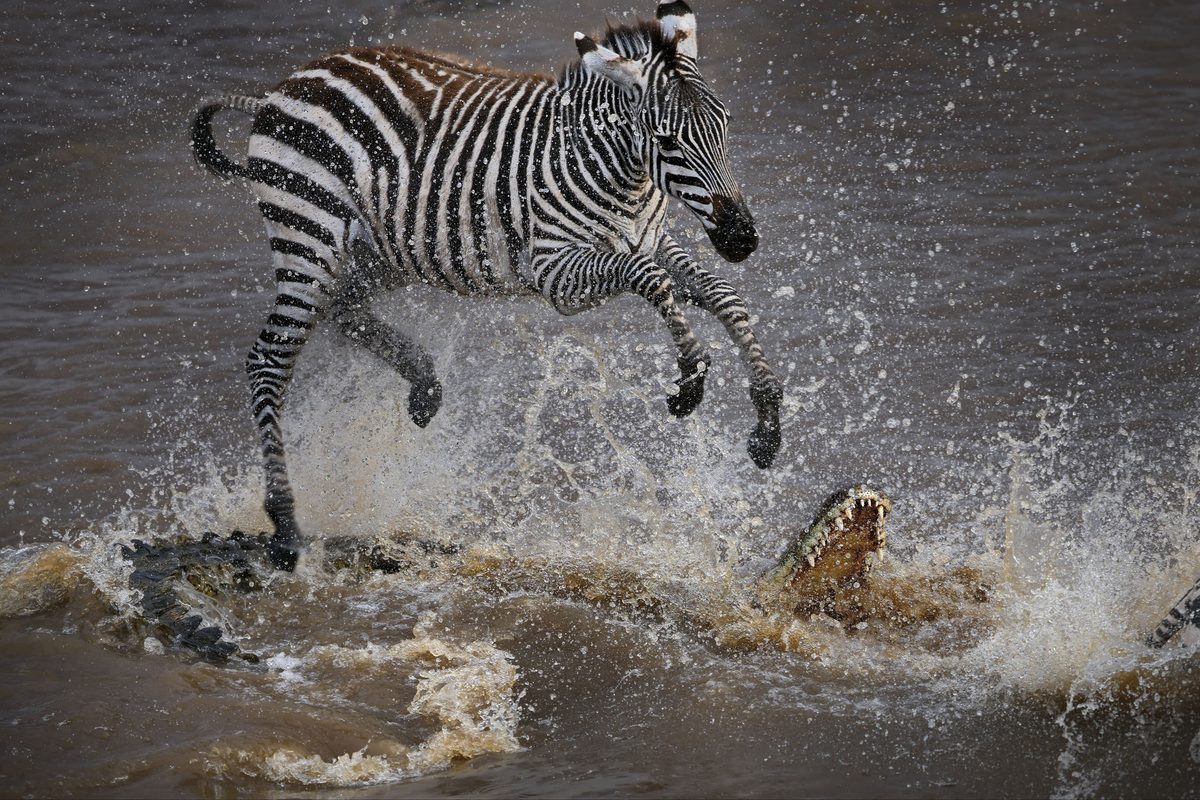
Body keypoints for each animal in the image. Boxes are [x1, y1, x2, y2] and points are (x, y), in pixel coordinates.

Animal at [190, 1, 783, 570]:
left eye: (725, 124)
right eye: (666, 140)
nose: (742, 238)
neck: (621, 176)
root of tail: (279, 89)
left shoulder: (652, 240)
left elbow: (724, 297)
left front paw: (768, 417)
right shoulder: (558, 273)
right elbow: (652, 282)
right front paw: (690, 374)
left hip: (375, 251)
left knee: (343, 312)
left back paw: (423, 385)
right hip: (309, 235)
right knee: (269, 360)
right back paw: (286, 528)